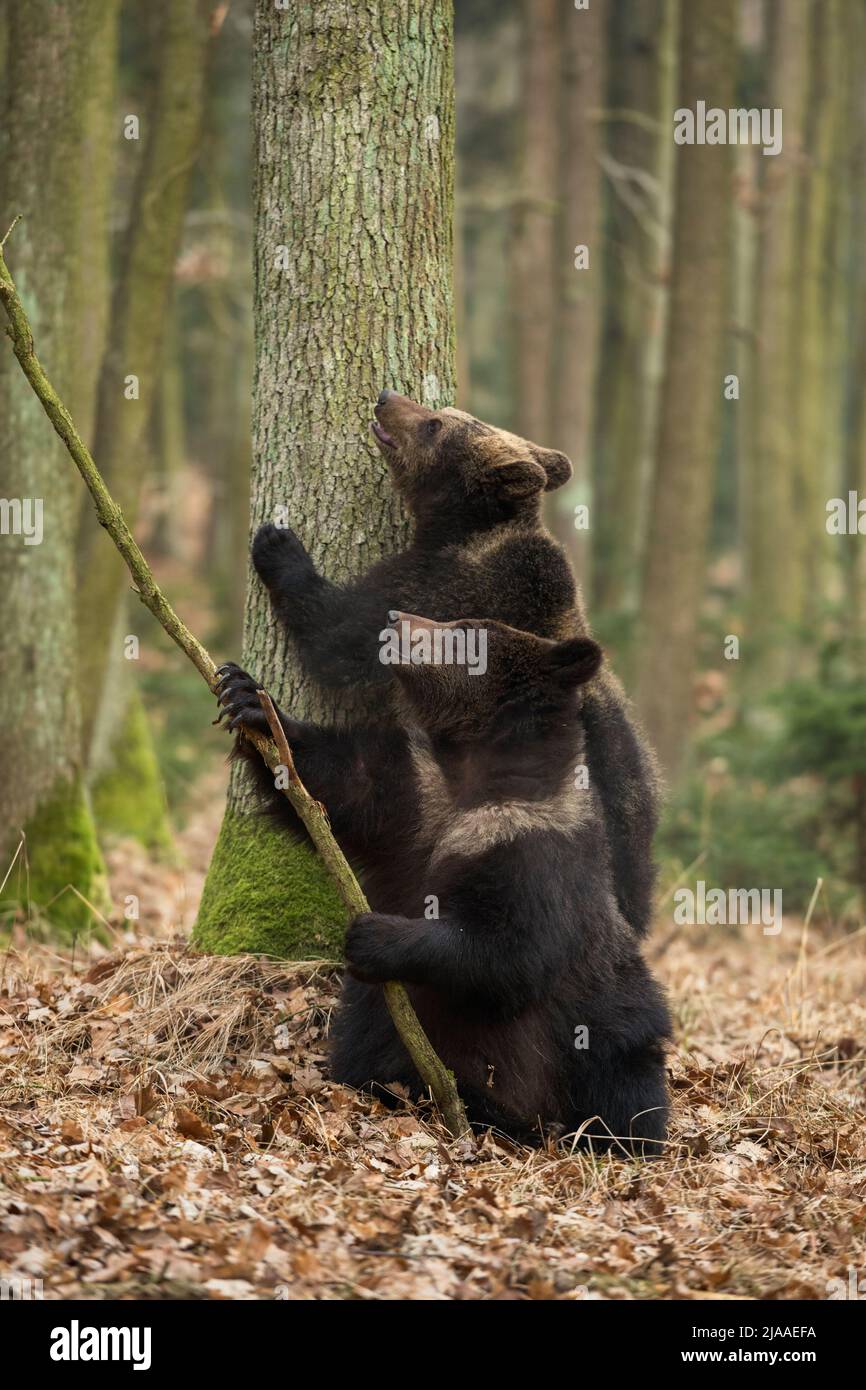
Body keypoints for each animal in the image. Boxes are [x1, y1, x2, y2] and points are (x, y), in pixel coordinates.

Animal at [247, 386, 661, 939]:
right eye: (441, 412)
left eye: (435, 425)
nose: (385, 397)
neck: (463, 529)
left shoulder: (441, 589)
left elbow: (342, 639)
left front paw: (278, 545)